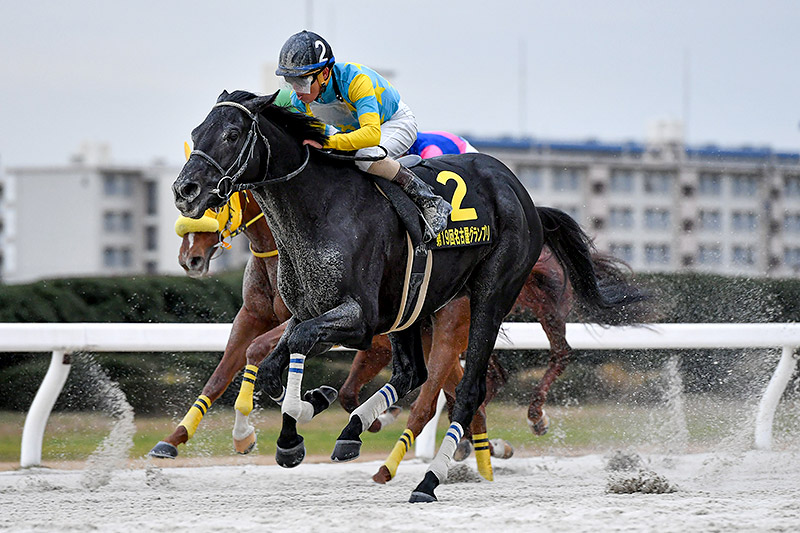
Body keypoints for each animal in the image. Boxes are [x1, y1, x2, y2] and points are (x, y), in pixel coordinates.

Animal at [172, 89, 620, 500]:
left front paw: (296, 420)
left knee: (464, 391)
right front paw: (296, 429)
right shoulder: (310, 313)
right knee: (415, 375)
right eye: (195, 132)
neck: (319, 209)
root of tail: (520, 191)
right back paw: (361, 432)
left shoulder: (360, 320)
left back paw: (428, 478)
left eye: (232, 134)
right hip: (412, 310)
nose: (184, 190)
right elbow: (269, 366)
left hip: (487, 299)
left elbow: (287, 349)